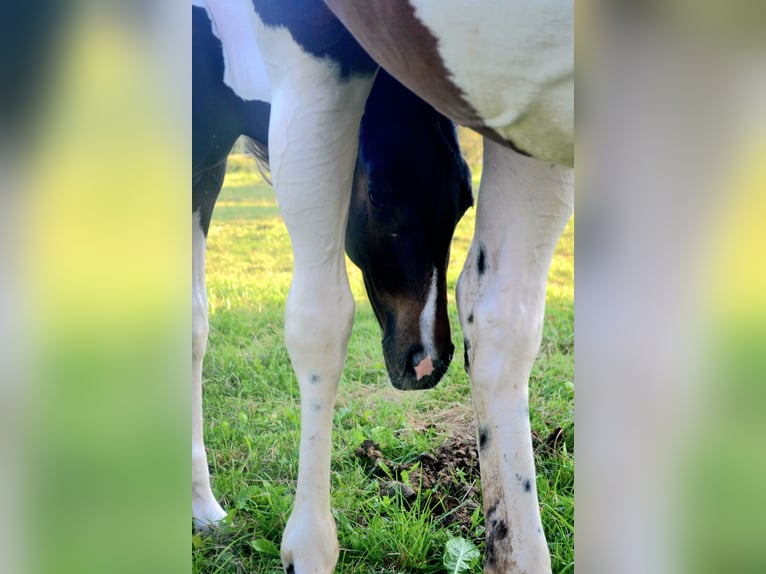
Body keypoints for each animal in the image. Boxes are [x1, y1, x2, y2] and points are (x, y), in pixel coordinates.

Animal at [191, 0, 474, 544]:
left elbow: (194, 325)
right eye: (379, 194)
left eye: (465, 202)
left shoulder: (207, 171)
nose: (429, 361)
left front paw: (201, 505)